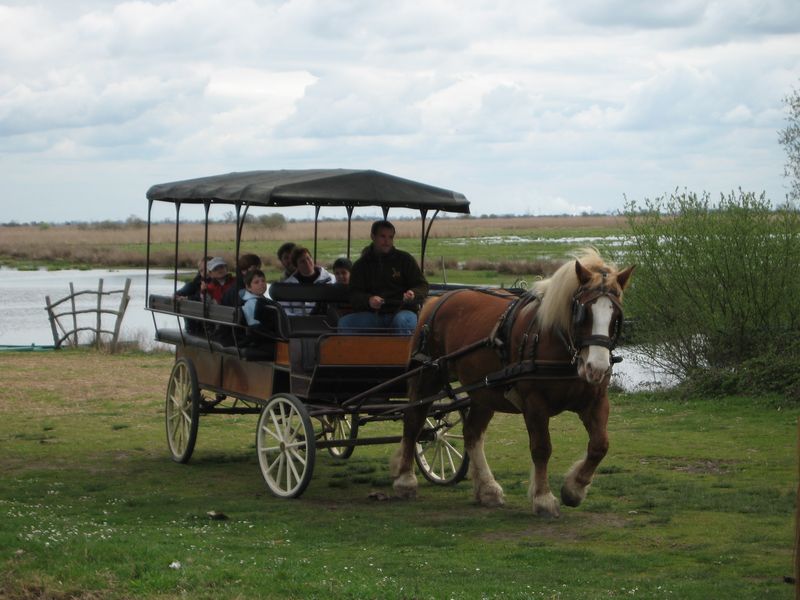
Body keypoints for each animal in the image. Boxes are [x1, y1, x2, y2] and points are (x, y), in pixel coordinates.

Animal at [390, 248, 636, 516]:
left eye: (616, 316)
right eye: (583, 313)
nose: (597, 368)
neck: (558, 344)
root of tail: (437, 299)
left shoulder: (595, 401)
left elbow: (600, 445)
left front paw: (574, 489)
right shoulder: (534, 403)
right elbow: (541, 448)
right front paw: (543, 498)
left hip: (483, 392)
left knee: (472, 433)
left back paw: (488, 489)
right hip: (426, 378)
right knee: (413, 421)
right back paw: (405, 481)